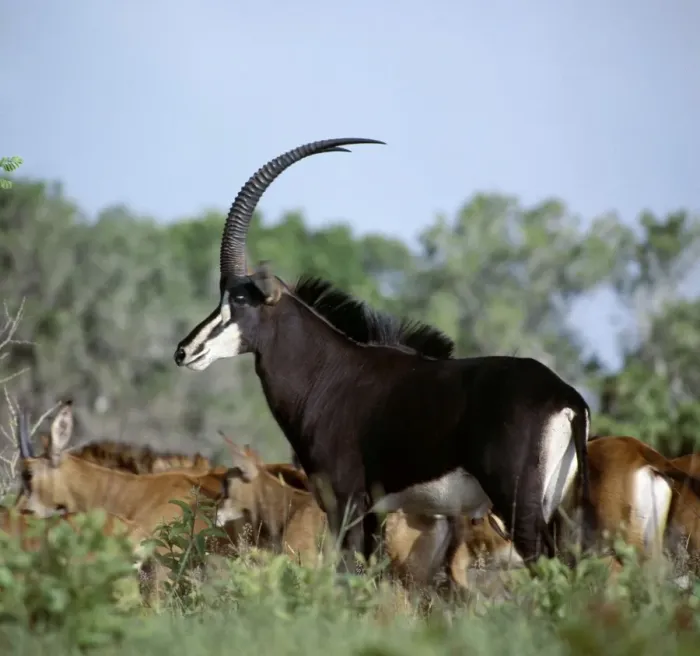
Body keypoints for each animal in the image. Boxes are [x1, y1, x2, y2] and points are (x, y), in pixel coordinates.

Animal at [173, 137, 593, 568]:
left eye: (240, 299)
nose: (185, 351)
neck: (328, 373)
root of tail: (567, 399)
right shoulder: (375, 510)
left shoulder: (345, 501)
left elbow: (347, 568)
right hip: (554, 506)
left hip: (517, 505)